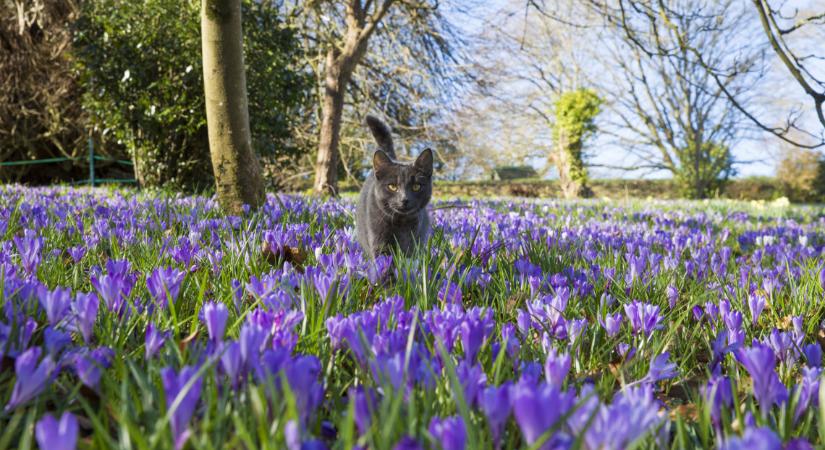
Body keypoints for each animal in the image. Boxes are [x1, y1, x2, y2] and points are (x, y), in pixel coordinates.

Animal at [354, 114, 432, 258]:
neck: (400, 224)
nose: (404, 199)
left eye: (416, 186)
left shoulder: (413, 242)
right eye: (392, 186)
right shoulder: (379, 243)